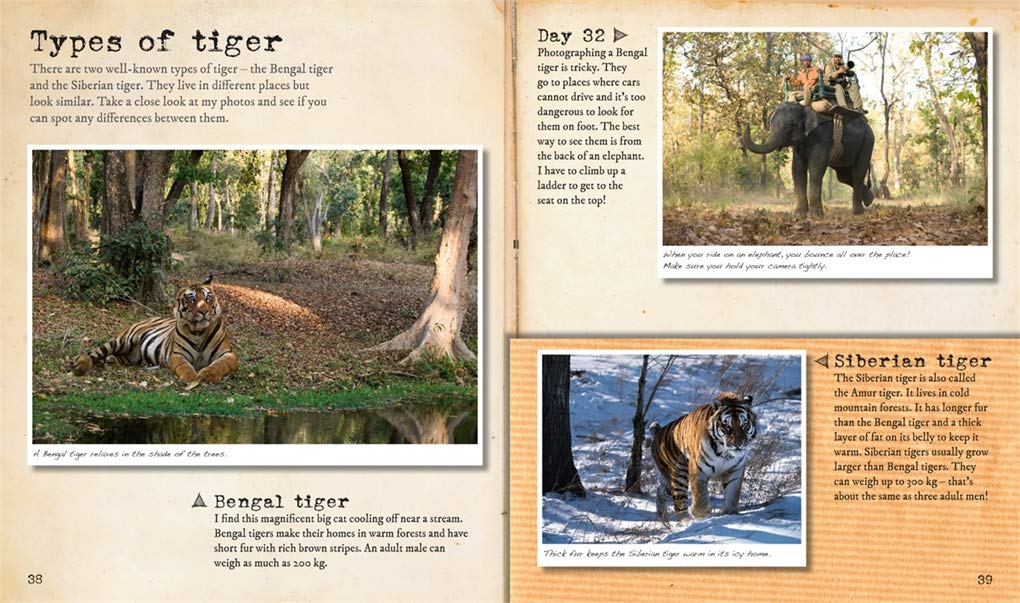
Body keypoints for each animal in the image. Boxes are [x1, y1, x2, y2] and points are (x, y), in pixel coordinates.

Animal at [72, 279, 238, 385]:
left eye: (208, 297)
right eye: (191, 299)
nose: (203, 311)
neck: (199, 332)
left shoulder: (228, 354)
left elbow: (219, 365)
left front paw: (207, 375)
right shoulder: (177, 355)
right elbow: (184, 366)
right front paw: (191, 377)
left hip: (135, 356)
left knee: (119, 357)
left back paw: (111, 361)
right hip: (123, 340)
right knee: (95, 352)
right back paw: (81, 365)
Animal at [650, 392, 757, 524]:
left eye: (744, 425)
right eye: (727, 426)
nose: (738, 443)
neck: (725, 453)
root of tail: (658, 432)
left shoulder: (735, 471)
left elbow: (732, 495)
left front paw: (730, 514)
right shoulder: (698, 468)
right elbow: (700, 495)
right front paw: (699, 514)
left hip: (667, 482)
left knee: (660, 491)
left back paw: (663, 517)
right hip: (679, 474)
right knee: (679, 503)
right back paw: (687, 521)